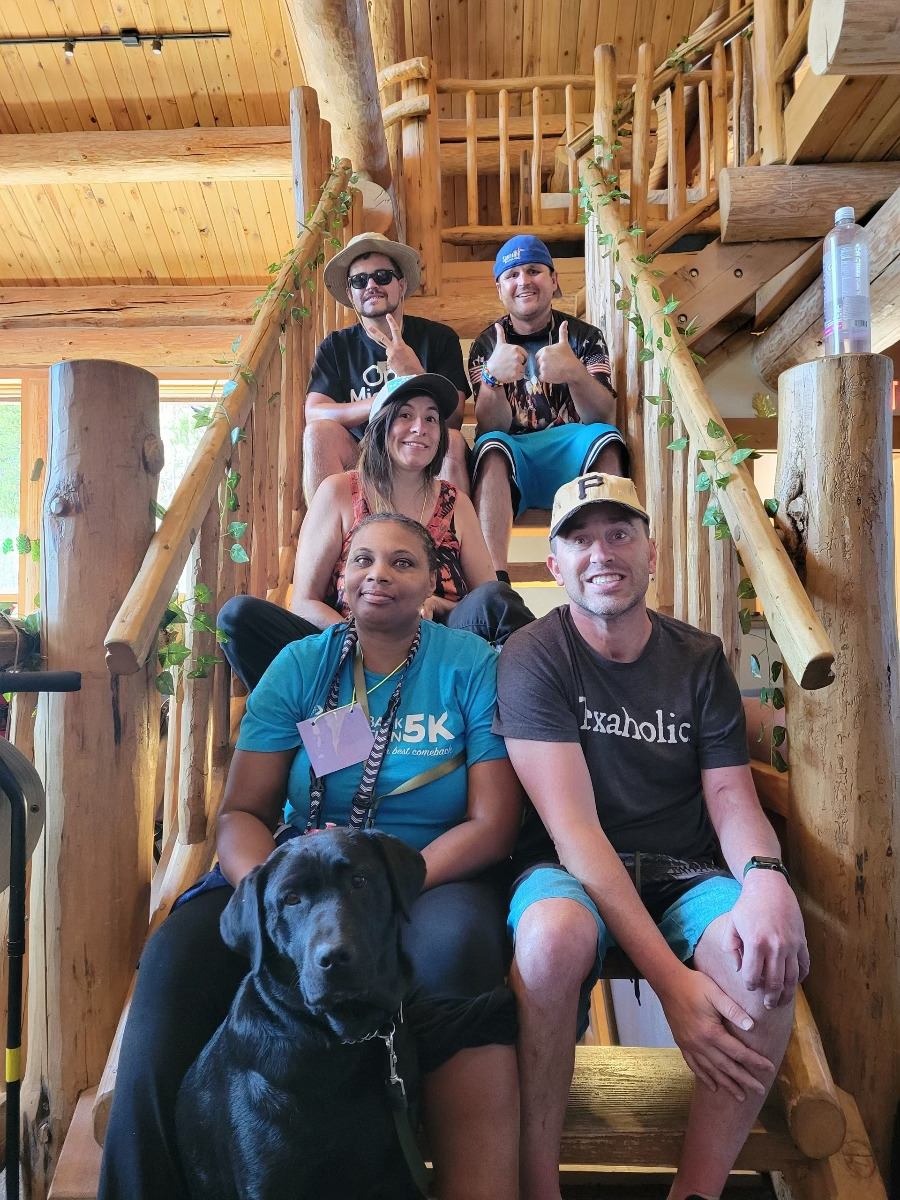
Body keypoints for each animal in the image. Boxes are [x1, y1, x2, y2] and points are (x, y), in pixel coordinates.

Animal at [176, 828, 428, 1200]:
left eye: (359, 881)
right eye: (291, 899)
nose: (334, 957)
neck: (340, 1040)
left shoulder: (397, 1171)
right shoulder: (267, 1182)